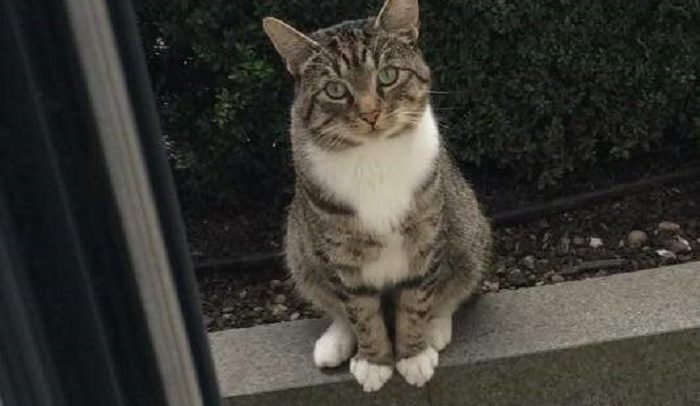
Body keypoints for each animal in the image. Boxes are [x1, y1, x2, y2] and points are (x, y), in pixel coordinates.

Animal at [264, 0, 492, 392]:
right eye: (335, 90)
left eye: (387, 75)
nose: (370, 113)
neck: (373, 157)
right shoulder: (338, 251)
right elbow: (358, 308)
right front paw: (374, 361)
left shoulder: (426, 235)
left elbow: (417, 298)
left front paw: (413, 354)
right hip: (300, 250)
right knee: (333, 300)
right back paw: (336, 341)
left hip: (469, 229)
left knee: (456, 284)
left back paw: (436, 327)